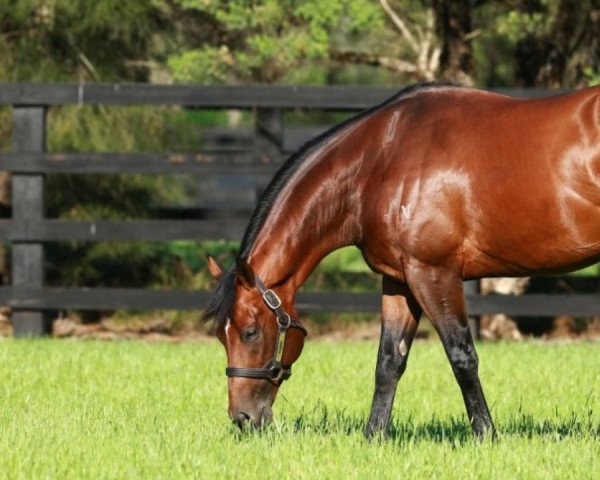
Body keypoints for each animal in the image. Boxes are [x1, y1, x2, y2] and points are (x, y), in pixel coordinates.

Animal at [203, 83, 600, 438]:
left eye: (250, 331)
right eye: (221, 336)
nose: (242, 418)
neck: (379, 161)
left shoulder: (433, 274)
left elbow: (462, 356)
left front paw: (486, 435)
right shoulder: (398, 280)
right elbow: (389, 360)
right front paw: (374, 437)